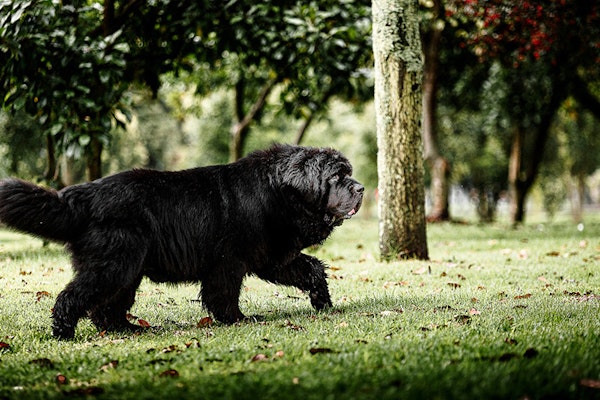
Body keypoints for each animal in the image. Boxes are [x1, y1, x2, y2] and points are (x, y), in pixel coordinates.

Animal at [0, 145, 366, 340]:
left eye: (348, 174)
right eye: (336, 177)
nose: (361, 188)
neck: (278, 191)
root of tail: (83, 195)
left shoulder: (272, 255)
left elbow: (311, 269)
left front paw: (323, 302)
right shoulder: (228, 261)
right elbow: (224, 294)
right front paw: (237, 319)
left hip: (127, 268)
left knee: (107, 307)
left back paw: (129, 329)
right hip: (115, 263)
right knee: (75, 296)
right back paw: (64, 331)